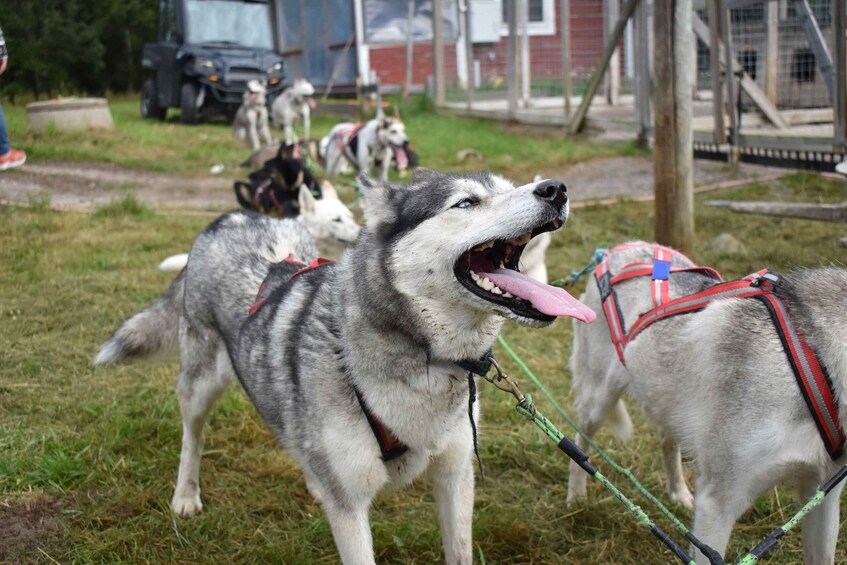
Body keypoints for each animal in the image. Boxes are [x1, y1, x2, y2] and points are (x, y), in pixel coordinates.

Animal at [94, 169, 596, 564]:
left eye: (513, 187)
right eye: (467, 202)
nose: (555, 188)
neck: (425, 359)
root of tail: (231, 217)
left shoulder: (455, 477)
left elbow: (458, 550)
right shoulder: (352, 510)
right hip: (199, 387)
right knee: (192, 438)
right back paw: (186, 495)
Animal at [568, 242, 847, 564]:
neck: (817, 361)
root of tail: (618, 248)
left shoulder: (822, 494)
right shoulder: (718, 505)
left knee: (667, 441)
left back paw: (678, 493)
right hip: (598, 402)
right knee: (580, 442)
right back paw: (576, 496)